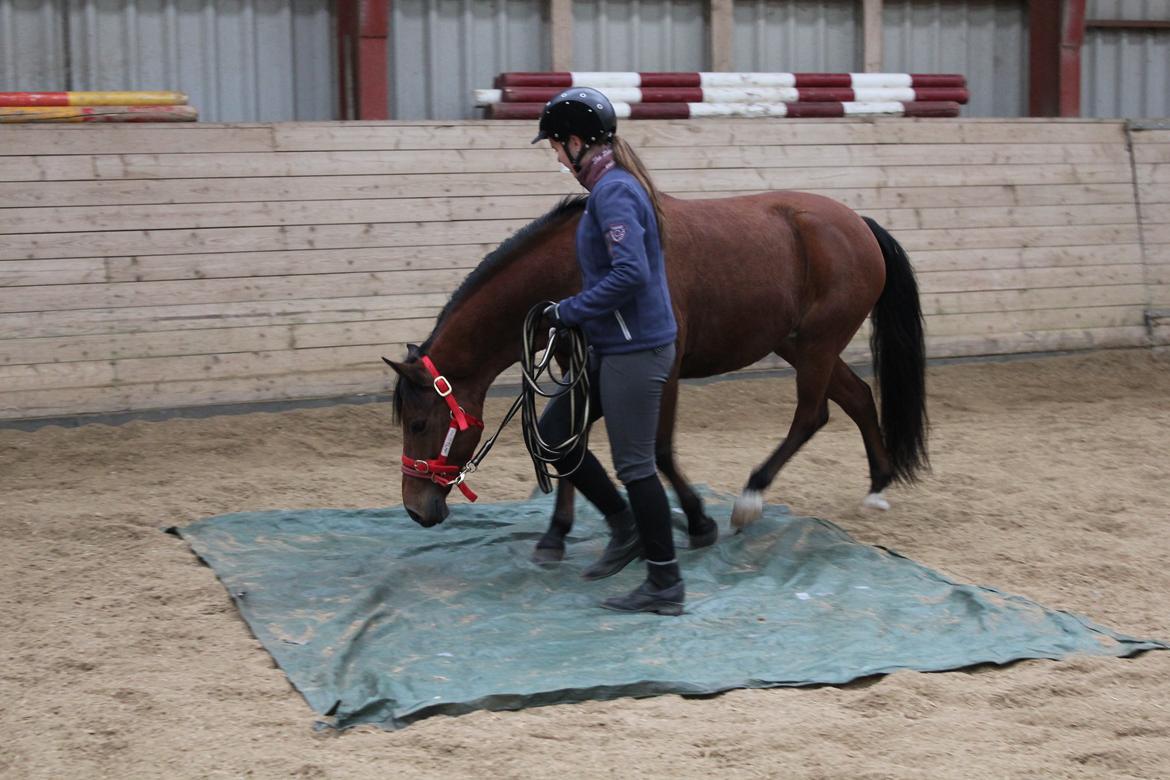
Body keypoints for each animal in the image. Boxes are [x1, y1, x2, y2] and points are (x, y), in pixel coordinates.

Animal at [384, 190, 928, 560]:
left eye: (418, 424)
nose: (415, 509)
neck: (576, 268)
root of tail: (858, 222)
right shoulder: (577, 371)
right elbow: (566, 445)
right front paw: (556, 535)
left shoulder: (658, 370)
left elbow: (659, 451)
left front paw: (698, 520)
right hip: (798, 344)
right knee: (858, 396)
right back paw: (877, 486)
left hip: (816, 345)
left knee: (812, 415)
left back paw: (751, 497)